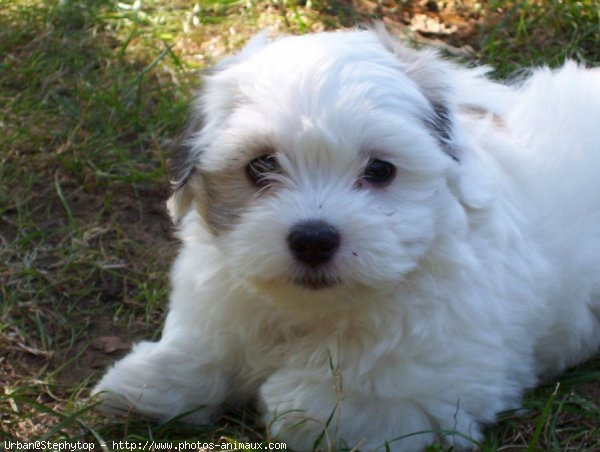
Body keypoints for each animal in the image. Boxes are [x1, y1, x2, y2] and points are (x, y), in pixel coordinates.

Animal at [92, 26, 600, 450]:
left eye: (380, 170)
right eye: (261, 165)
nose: (314, 240)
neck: (313, 309)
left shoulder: (436, 390)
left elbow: (327, 409)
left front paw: (289, 399)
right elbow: (208, 346)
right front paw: (153, 378)